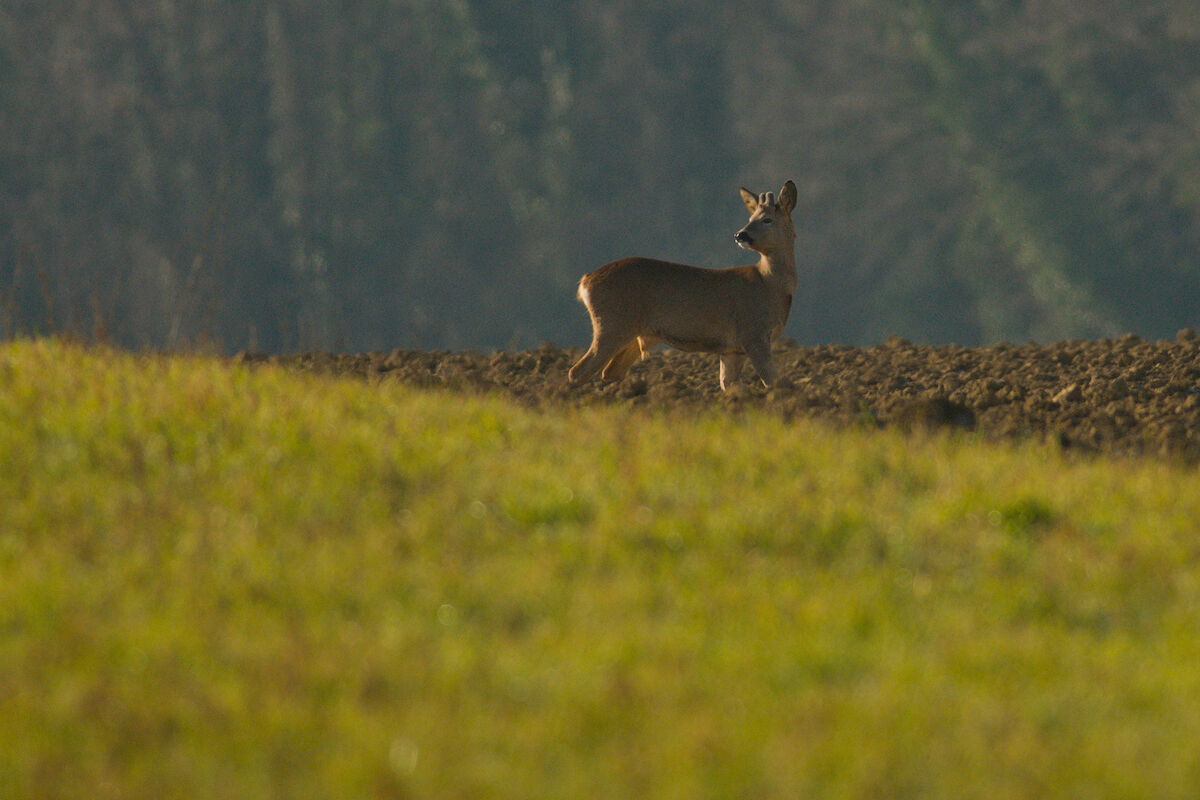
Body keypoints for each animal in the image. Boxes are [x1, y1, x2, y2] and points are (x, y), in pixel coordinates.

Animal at [568, 180, 797, 391]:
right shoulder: (753, 333)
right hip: (612, 323)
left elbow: (728, 384)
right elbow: (772, 381)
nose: (740, 234)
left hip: (631, 333)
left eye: (767, 219)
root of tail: (586, 280)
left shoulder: (732, 349)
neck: (770, 286)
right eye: (750, 219)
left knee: (609, 372)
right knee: (578, 370)